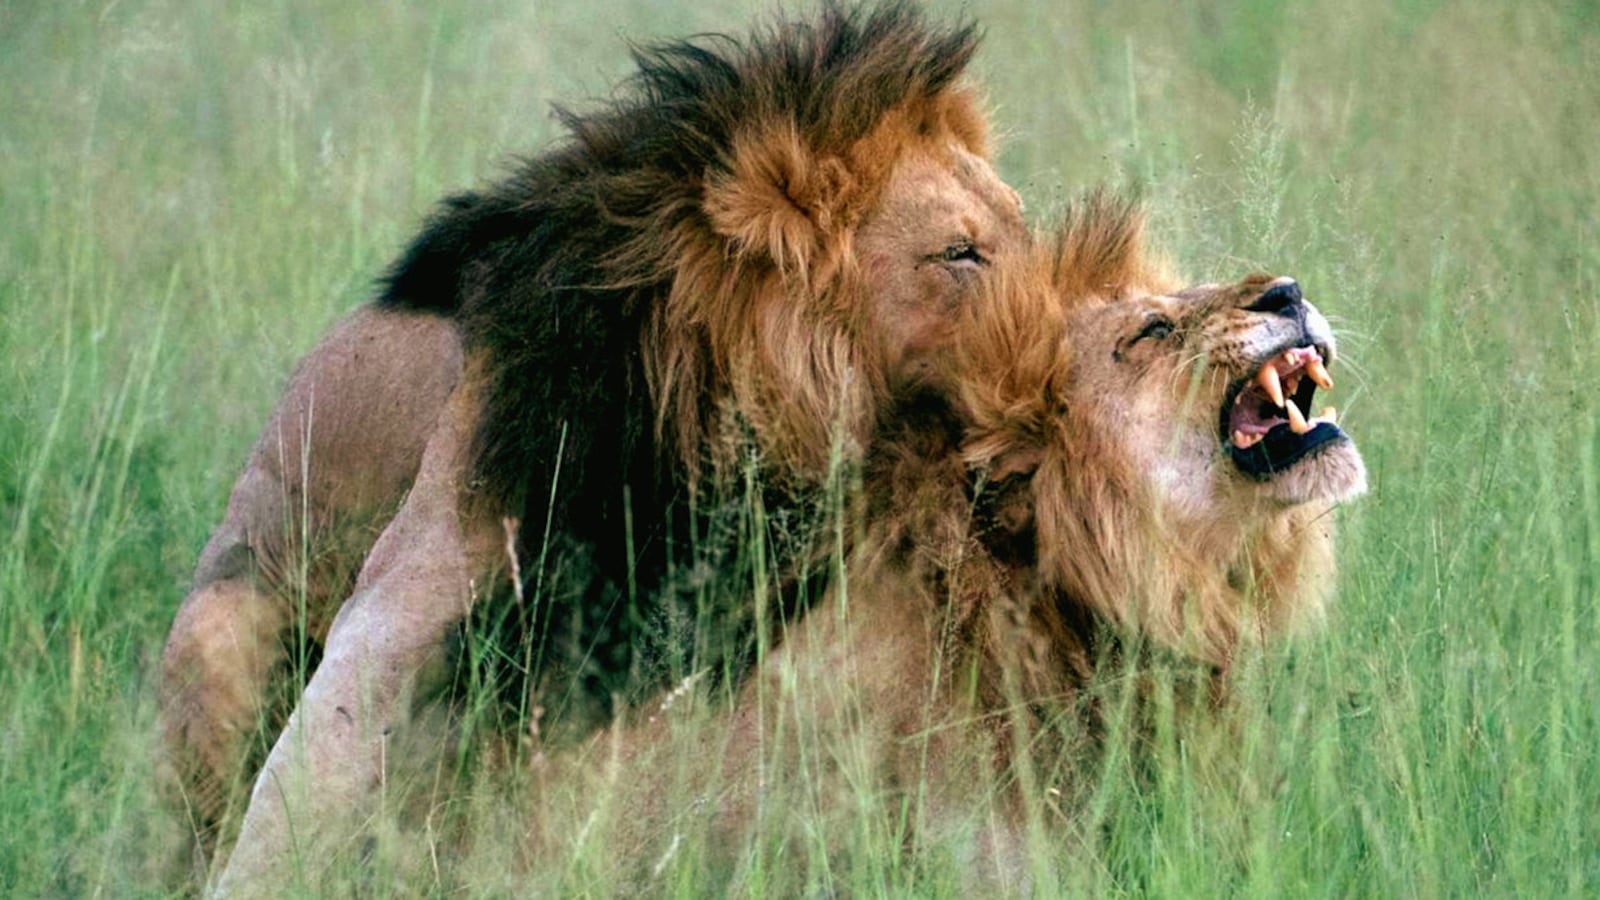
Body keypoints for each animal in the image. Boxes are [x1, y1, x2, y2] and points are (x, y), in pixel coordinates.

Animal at [158, 2, 1028, 891]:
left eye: (1023, 224)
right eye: (959, 252)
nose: (1081, 328)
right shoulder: (429, 581)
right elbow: (312, 784)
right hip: (219, 628)